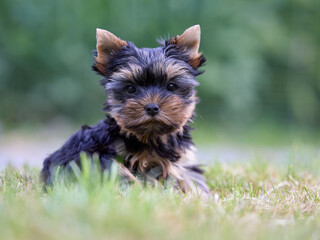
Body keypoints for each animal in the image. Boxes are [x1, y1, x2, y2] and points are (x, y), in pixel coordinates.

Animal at [40, 24, 210, 197]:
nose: (152, 107)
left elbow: (190, 176)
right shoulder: (91, 153)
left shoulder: (183, 159)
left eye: (171, 86)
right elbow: (115, 171)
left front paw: (199, 195)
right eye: (130, 89)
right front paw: (137, 192)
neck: (151, 138)